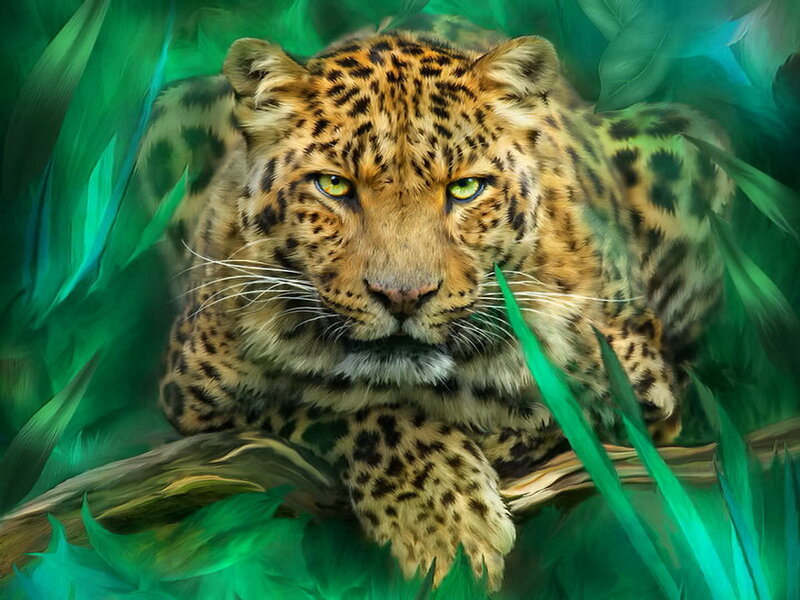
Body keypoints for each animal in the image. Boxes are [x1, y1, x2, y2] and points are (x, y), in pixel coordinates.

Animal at [137, 19, 733, 591]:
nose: (403, 296)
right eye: (333, 185)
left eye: (466, 188)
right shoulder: (193, 398)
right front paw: (441, 525)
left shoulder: (646, 389)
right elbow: (346, 404)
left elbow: (576, 413)